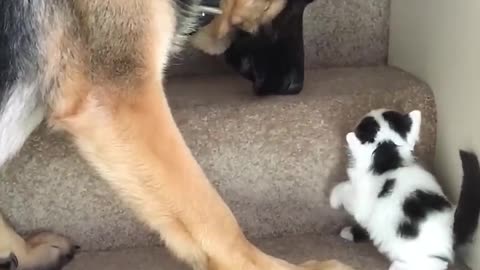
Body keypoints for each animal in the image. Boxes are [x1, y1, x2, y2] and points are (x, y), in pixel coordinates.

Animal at [328, 108, 480, 268]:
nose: (371, 110)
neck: (389, 157)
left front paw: (333, 200)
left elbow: (344, 189)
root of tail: (452, 229)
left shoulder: (361, 201)